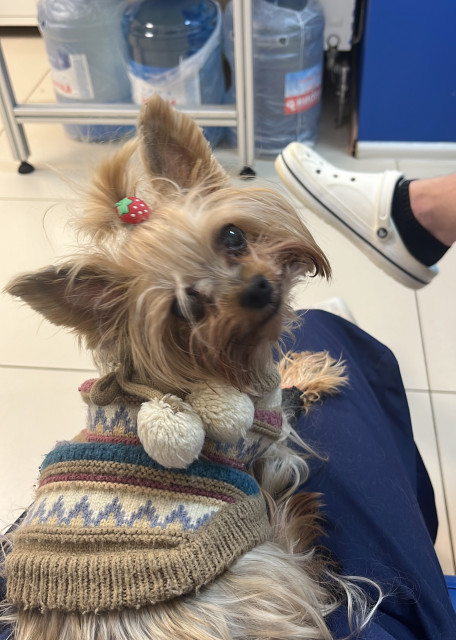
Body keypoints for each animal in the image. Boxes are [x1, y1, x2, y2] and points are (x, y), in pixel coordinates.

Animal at [1, 96, 375, 640]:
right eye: (187, 308)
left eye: (233, 235)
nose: (257, 289)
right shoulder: (265, 433)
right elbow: (284, 407)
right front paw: (308, 376)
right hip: (256, 561)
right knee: (292, 550)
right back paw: (295, 511)